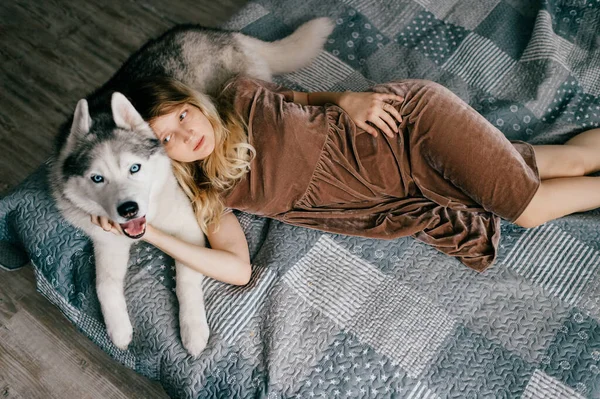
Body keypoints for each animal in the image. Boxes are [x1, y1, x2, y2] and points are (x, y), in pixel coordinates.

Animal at [49, 18, 336, 356]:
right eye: (97, 178)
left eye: (135, 168)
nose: (128, 209)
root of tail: (219, 33)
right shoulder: (107, 242)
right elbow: (104, 285)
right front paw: (118, 329)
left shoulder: (188, 229)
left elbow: (185, 281)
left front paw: (193, 329)